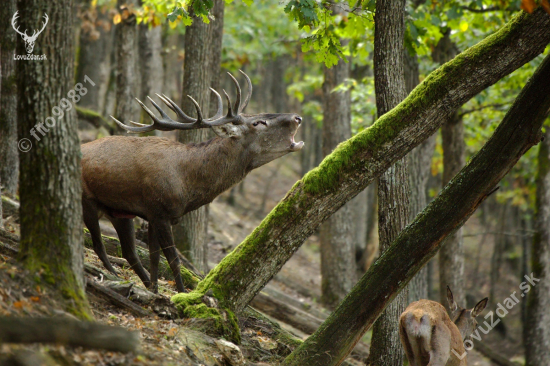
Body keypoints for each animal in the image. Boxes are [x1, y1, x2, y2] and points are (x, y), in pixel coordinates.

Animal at [81, 71, 306, 294]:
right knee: (97, 243)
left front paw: (154, 290)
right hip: (87, 199)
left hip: (119, 212)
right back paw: (112, 276)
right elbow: (173, 259)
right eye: (258, 123)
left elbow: (154, 257)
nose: (297, 117)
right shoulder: (160, 212)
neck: (188, 186)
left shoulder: (154, 214)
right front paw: (180, 294)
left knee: (129, 252)